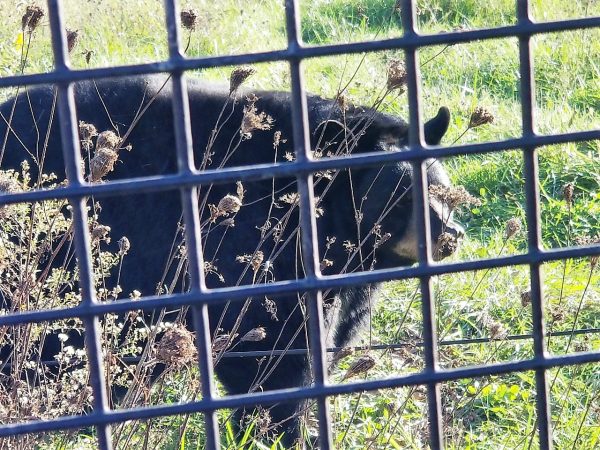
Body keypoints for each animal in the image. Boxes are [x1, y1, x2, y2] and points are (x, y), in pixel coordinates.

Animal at [0, 74, 464, 446]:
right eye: (404, 196)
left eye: (443, 190)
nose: (451, 234)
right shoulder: (254, 251)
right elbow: (271, 357)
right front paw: (278, 432)